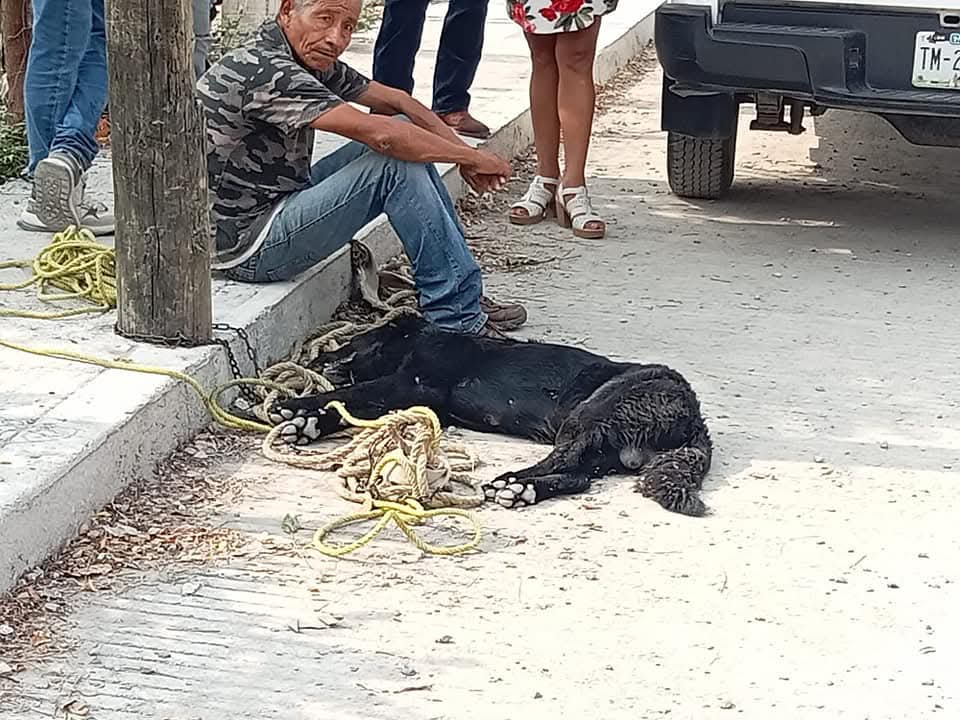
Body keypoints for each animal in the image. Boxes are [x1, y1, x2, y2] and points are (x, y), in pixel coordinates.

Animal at [269, 315, 713, 516]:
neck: (419, 340)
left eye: (350, 340)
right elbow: (349, 408)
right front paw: (306, 424)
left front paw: (294, 407)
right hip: (603, 450)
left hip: (592, 413)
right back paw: (524, 492)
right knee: (579, 476)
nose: (318, 357)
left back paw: (513, 484)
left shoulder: (414, 386)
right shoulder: (414, 398)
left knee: (563, 460)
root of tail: (693, 418)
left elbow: (348, 394)